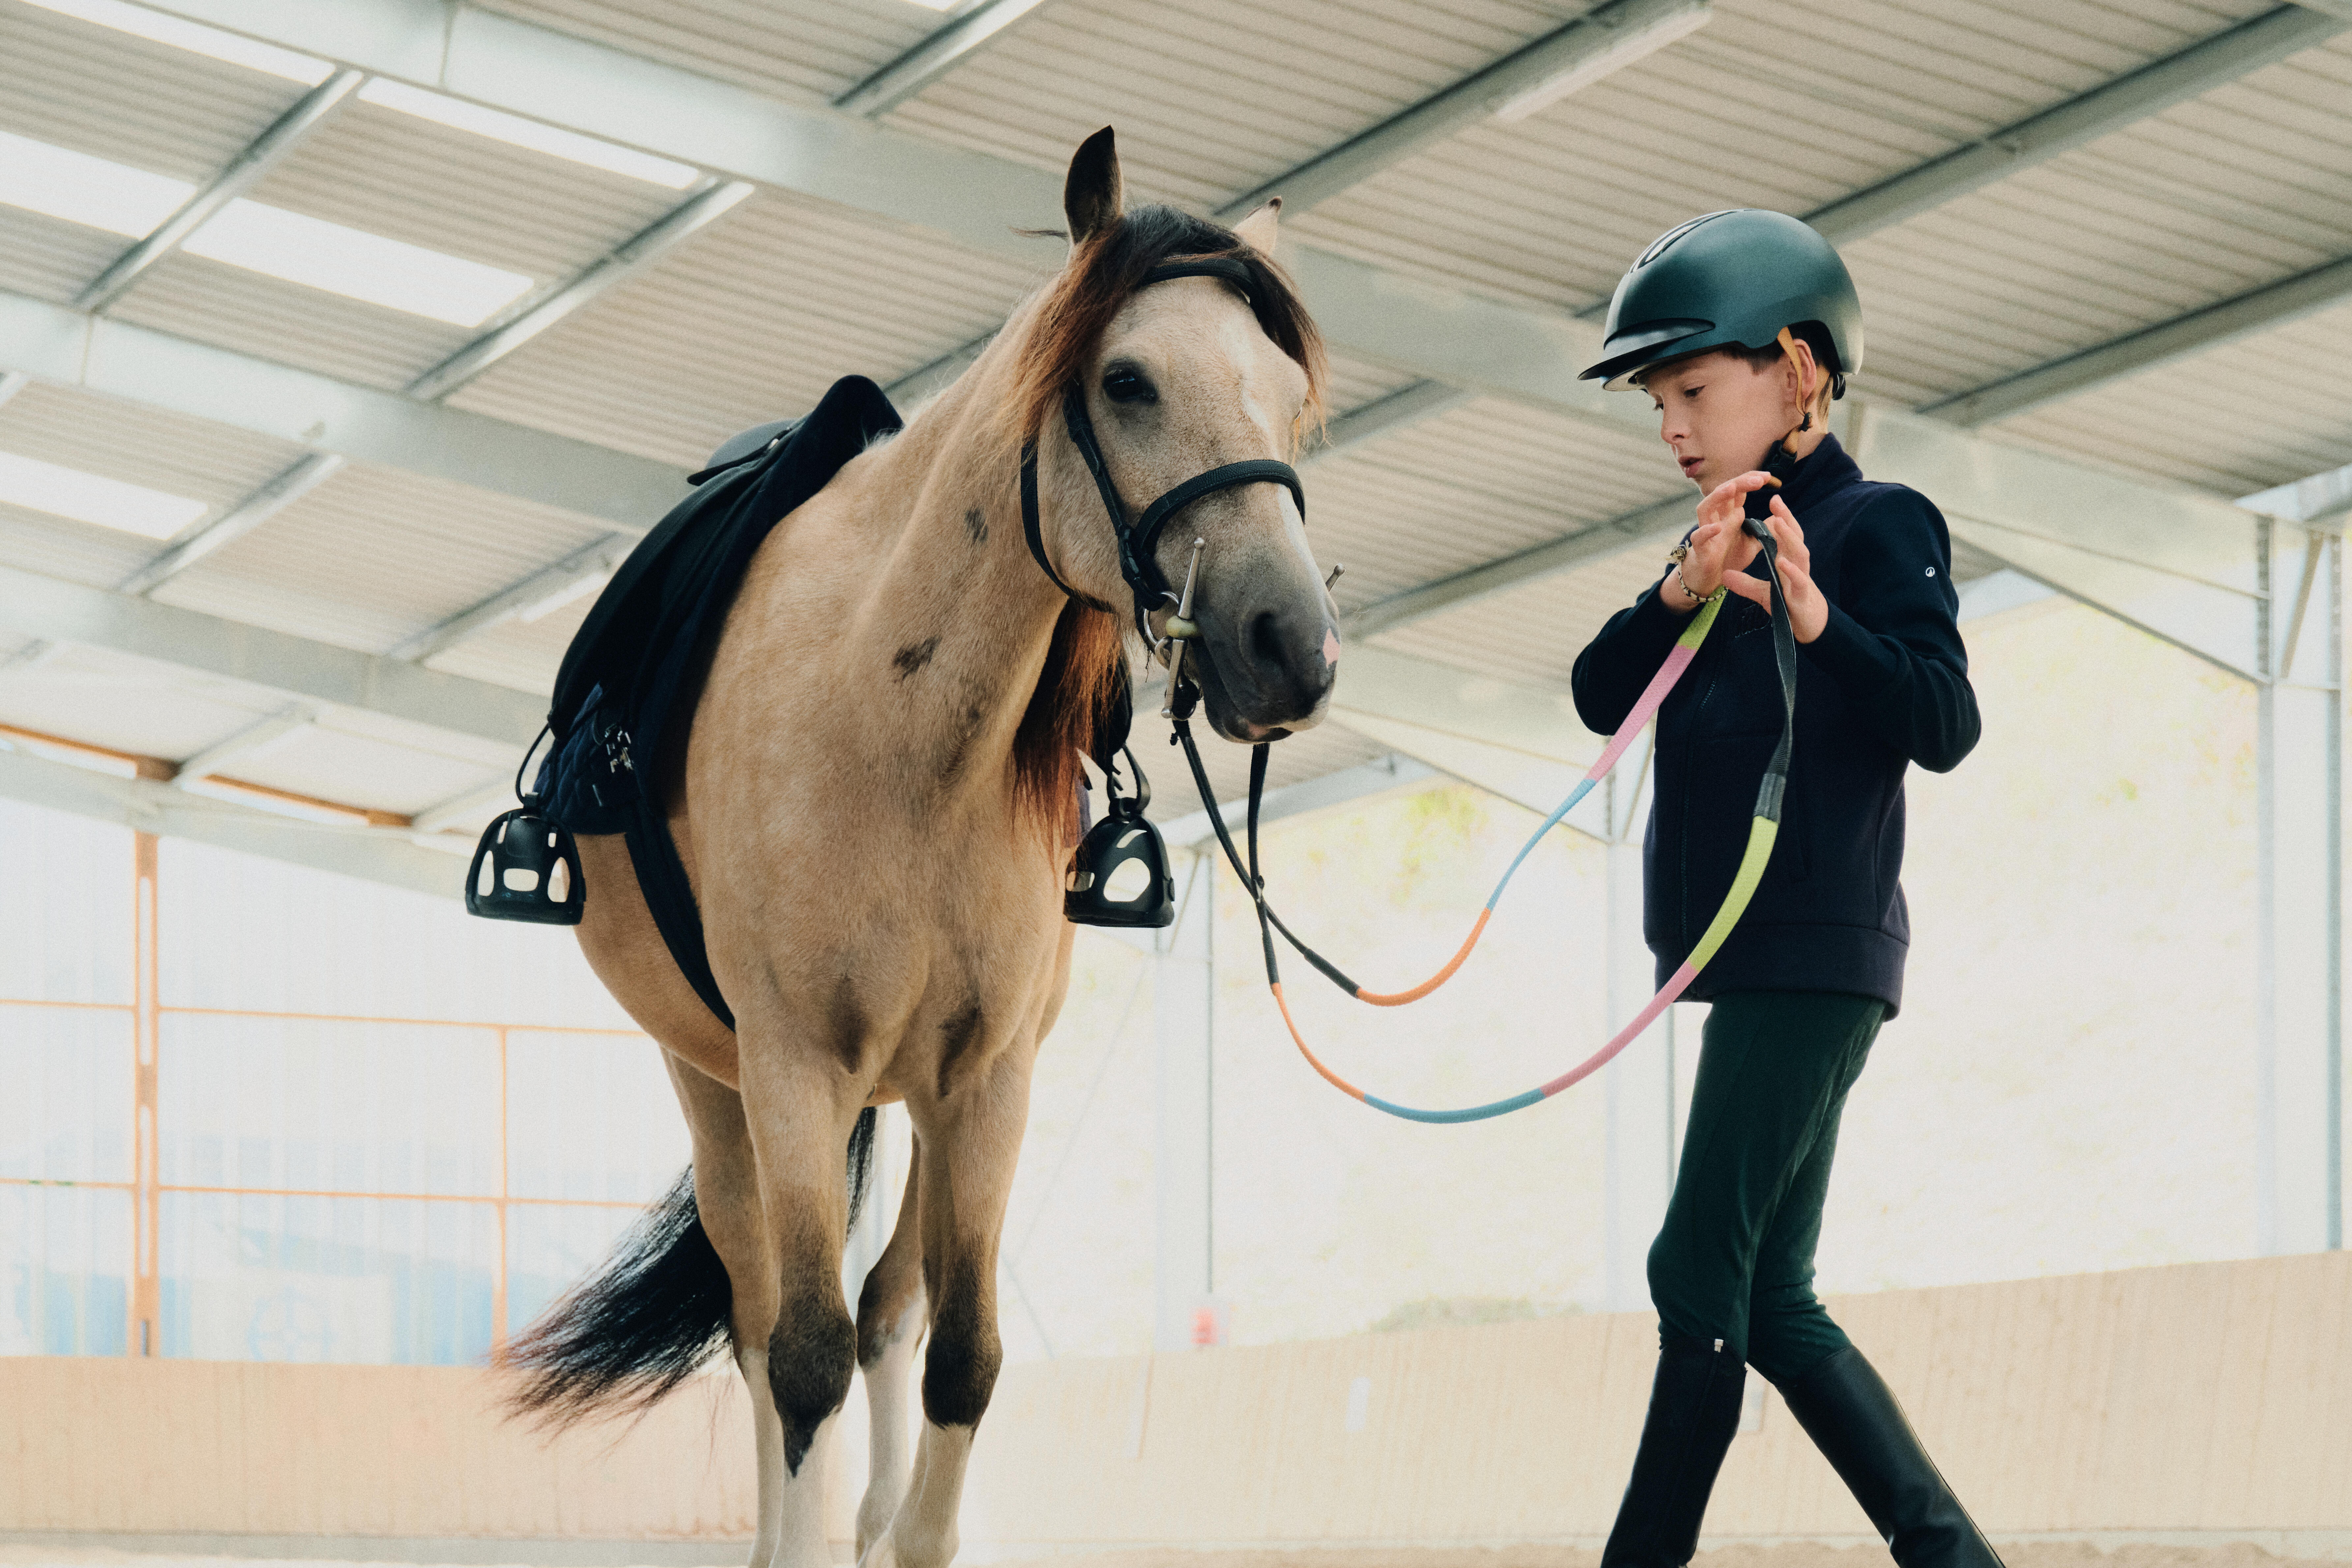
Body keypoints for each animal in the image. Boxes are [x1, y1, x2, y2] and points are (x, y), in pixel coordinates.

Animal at [503, 127, 1336, 1568]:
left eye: (1287, 398)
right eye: (1125, 380)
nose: (1287, 642)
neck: (895, 736)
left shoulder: (987, 1082)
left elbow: (960, 1354)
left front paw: (905, 1522)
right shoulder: (792, 1071)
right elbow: (802, 1358)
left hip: (914, 1104)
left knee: (890, 1304)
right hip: (714, 1085)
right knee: (763, 1324)